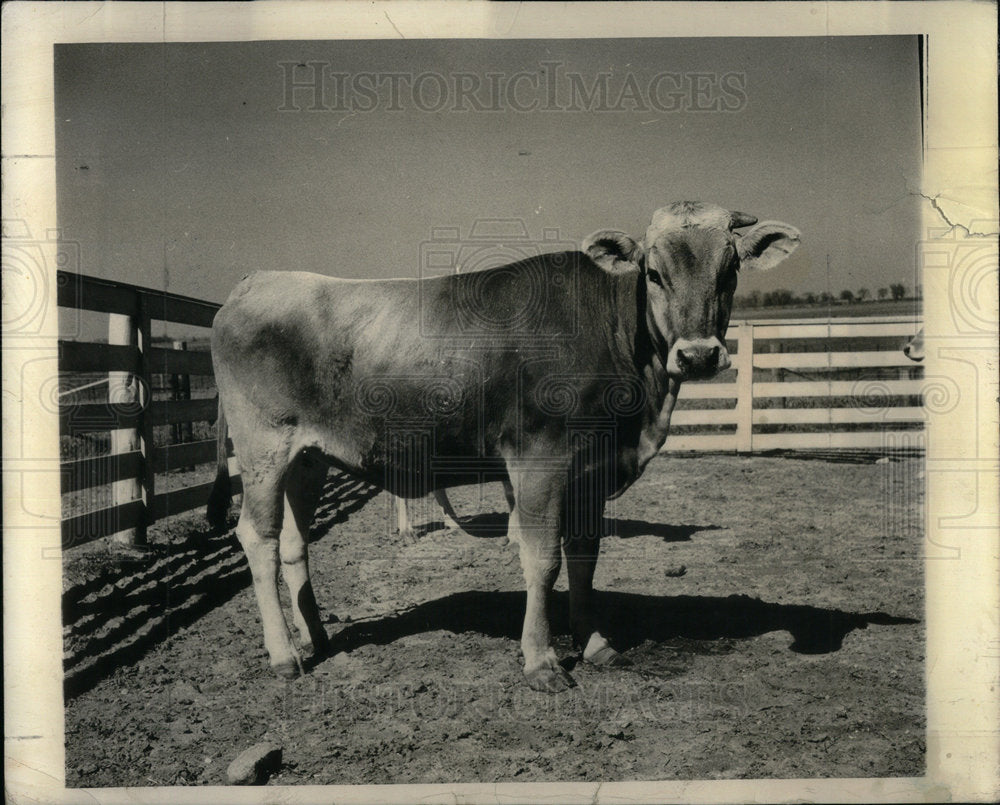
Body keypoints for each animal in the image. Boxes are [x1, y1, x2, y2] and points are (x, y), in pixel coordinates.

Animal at [207, 201, 800, 692]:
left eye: (729, 271)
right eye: (654, 273)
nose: (698, 355)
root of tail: (255, 282)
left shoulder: (591, 471)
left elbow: (584, 557)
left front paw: (595, 644)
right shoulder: (540, 460)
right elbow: (542, 561)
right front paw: (541, 661)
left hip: (308, 459)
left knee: (293, 543)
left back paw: (317, 638)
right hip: (263, 449)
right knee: (257, 538)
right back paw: (284, 655)